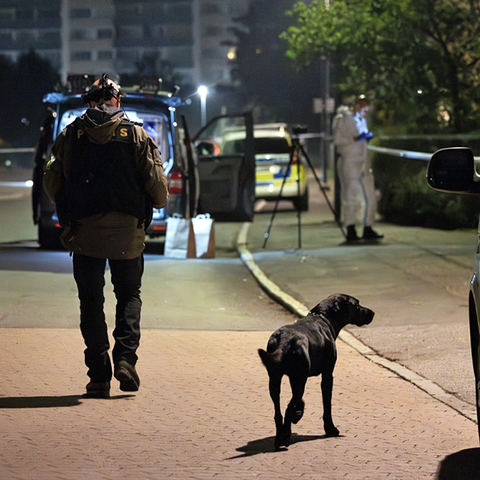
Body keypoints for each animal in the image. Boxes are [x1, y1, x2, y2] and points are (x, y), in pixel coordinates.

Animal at [258, 292, 376, 450]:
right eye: (356, 305)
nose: (372, 312)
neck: (323, 317)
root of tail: (284, 339)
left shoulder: (294, 378)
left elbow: (299, 401)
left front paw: (298, 412)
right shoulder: (327, 375)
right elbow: (327, 404)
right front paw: (330, 429)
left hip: (276, 380)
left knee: (279, 411)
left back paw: (279, 438)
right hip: (298, 378)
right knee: (288, 408)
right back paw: (286, 436)